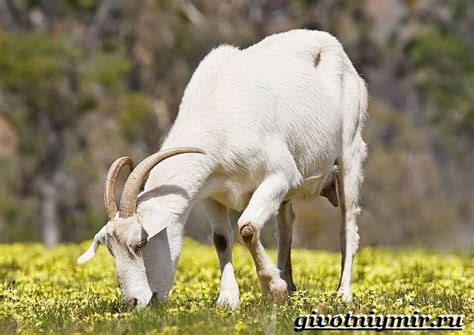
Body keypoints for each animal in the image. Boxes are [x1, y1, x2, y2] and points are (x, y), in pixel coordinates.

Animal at [78, 29, 366, 310]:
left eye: (139, 244)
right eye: (111, 250)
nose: (134, 302)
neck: (218, 119)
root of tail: (333, 45)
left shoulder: (279, 174)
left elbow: (247, 228)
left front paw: (274, 288)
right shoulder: (210, 192)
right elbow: (221, 239)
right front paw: (228, 300)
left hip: (349, 150)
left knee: (348, 224)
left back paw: (343, 293)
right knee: (286, 227)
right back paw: (291, 286)